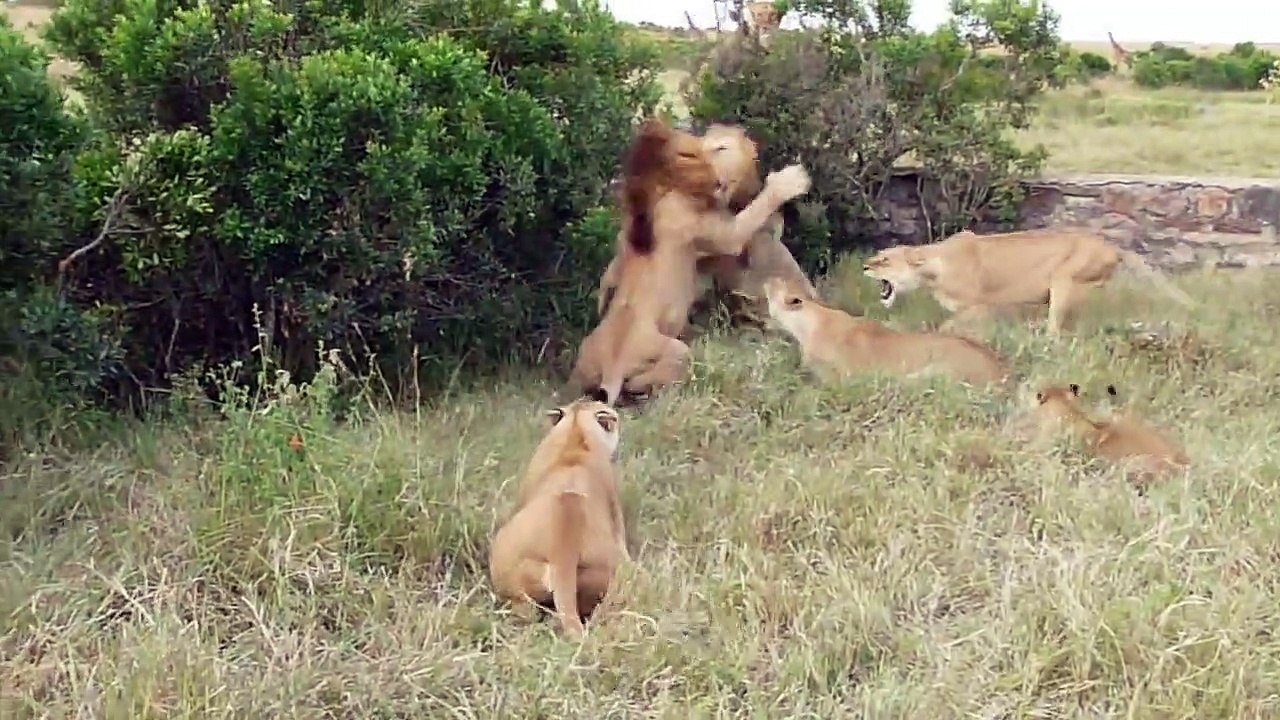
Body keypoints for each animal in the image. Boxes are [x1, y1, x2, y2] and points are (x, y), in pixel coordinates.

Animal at [565, 117, 812, 405]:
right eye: (695, 152)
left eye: (720, 149)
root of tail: (613, 367)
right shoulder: (718, 233)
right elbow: (750, 219)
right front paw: (788, 182)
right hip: (675, 351)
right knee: (650, 378)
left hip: (585, 356)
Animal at [861, 227, 1196, 336]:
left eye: (885, 260)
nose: (864, 266)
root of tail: (1112, 246)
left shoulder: (979, 305)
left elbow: (948, 327)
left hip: (1064, 279)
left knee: (1057, 331)